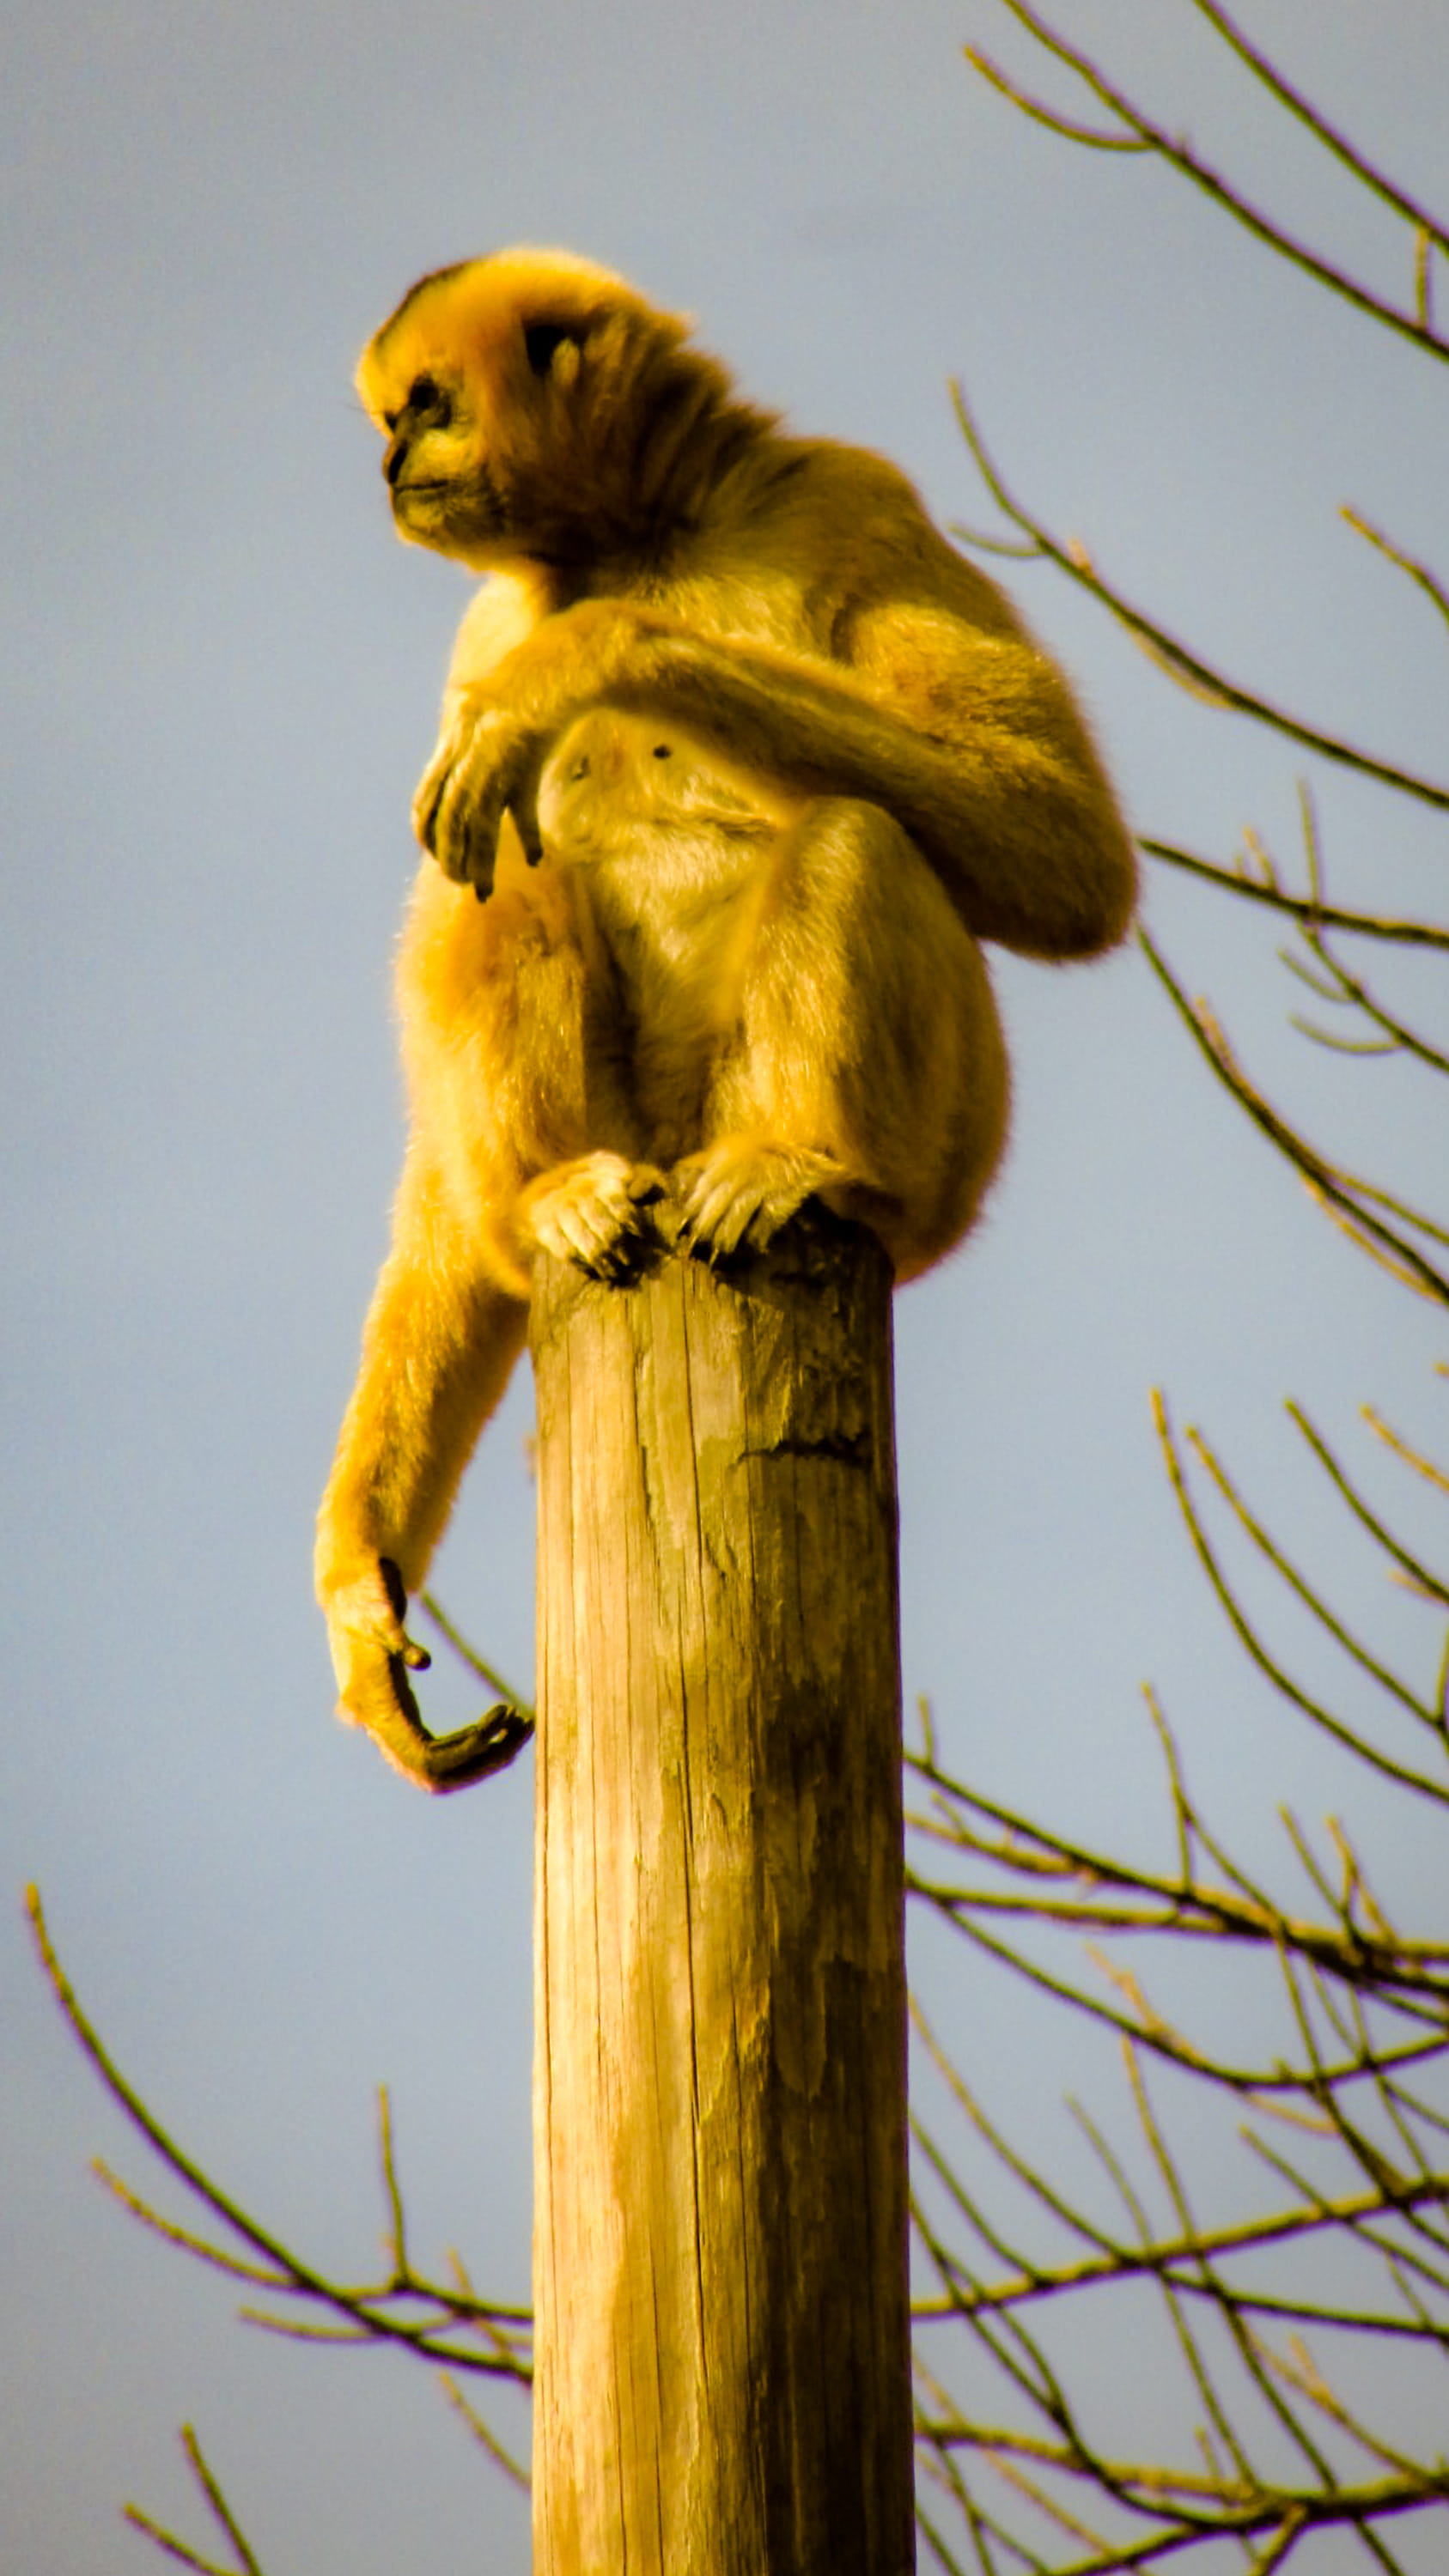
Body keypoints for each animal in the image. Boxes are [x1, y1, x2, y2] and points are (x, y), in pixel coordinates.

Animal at [314, 247, 1136, 1792]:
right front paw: (359, 1593)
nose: (390, 462)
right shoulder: (482, 622)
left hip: (950, 1151)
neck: (644, 532)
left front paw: (594, 656)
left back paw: (803, 1164)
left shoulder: (855, 492)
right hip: (635, 1125)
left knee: (854, 830)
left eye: (425, 407)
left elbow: (1065, 858)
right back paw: (554, 1195)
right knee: (506, 890)